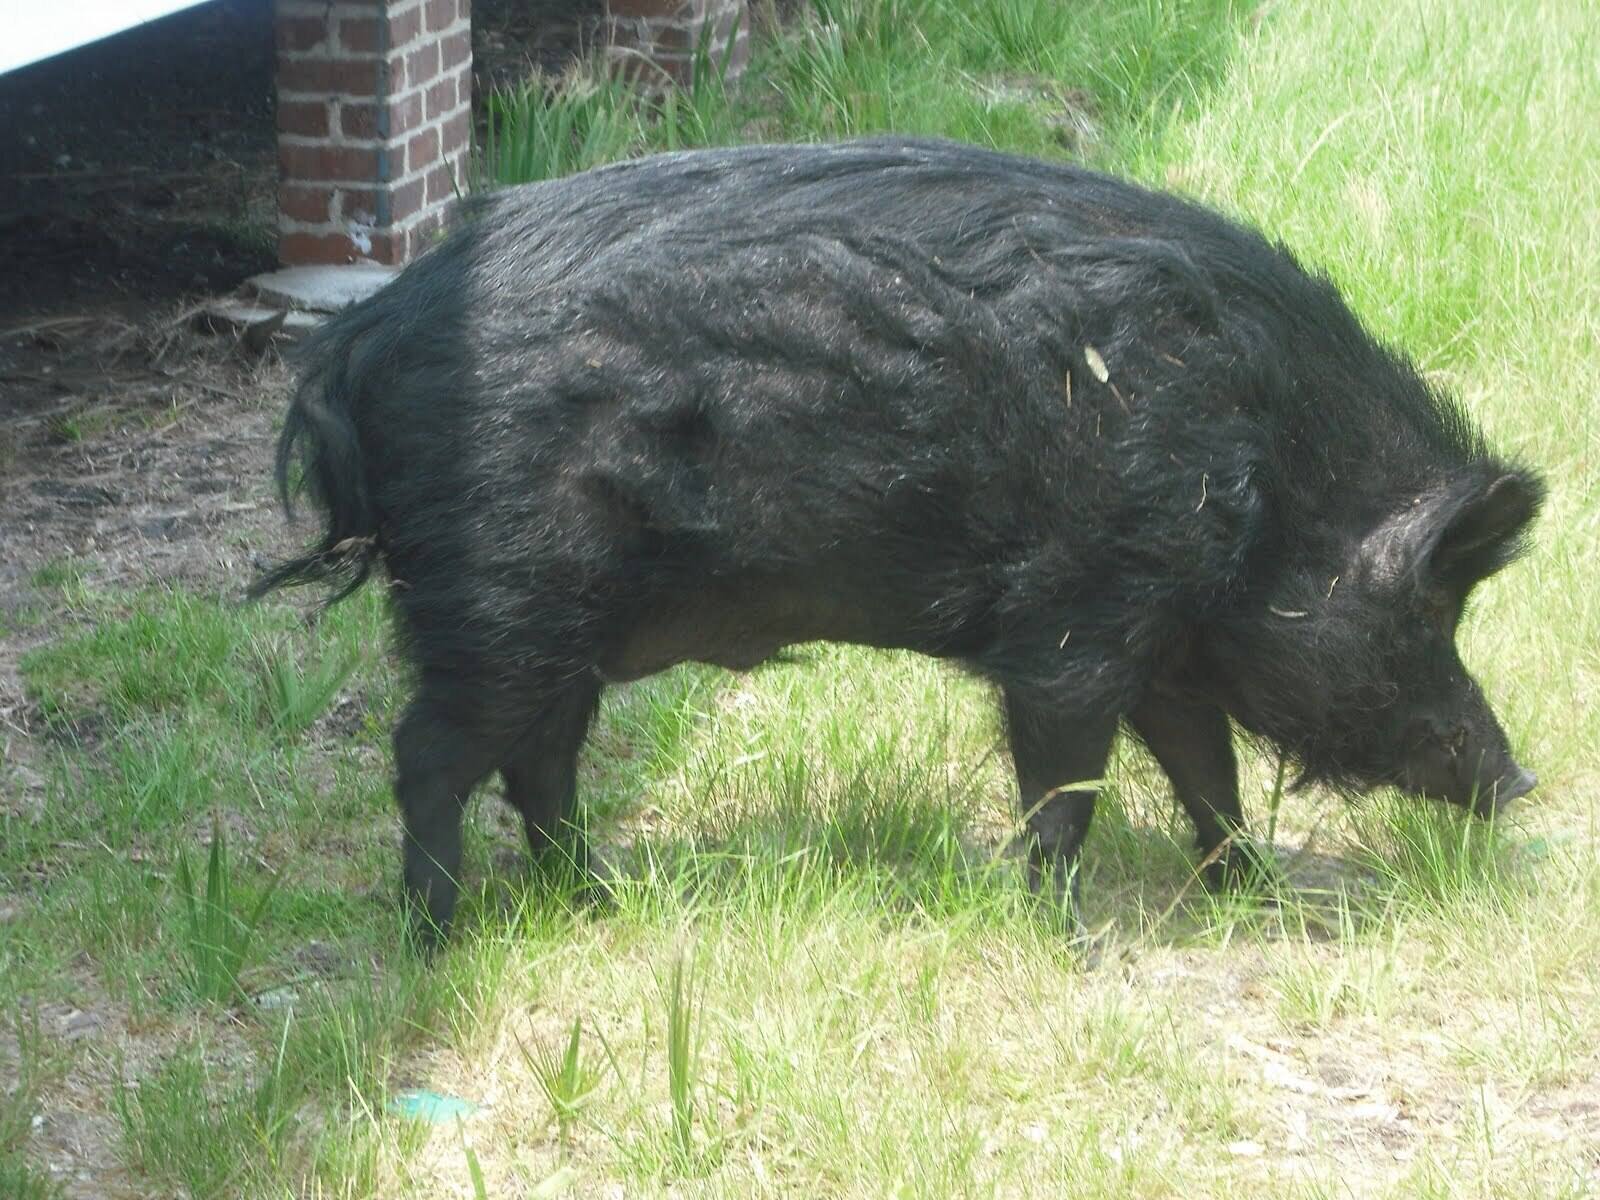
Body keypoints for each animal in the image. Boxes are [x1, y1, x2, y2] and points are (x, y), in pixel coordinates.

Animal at [251, 137, 1543, 948]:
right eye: (1432, 606)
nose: (1519, 777)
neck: (1266, 465)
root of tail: (362, 340)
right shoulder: (1074, 617)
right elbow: (1066, 780)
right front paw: (1067, 937)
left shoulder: (1163, 633)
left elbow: (1204, 766)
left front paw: (1253, 896)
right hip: (497, 599)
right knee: (431, 755)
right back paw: (437, 942)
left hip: (555, 627)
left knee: (541, 760)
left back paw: (598, 903)